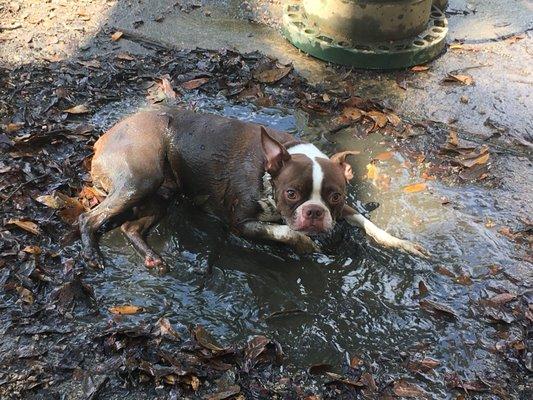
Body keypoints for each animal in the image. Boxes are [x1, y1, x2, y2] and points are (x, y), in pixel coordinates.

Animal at [79, 108, 426, 272]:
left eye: (335, 196)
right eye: (291, 193)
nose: (315, 212)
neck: (267, 175)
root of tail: (103, 137)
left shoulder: (345, 209)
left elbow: (369, 224)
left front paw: (401, 244)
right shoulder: (240, 223)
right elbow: (286, 231)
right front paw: (306, 244)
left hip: (163, 193)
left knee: (130, 227)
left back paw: (152, 257)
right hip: (139, 179)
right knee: (89, 219)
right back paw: (92, 254)